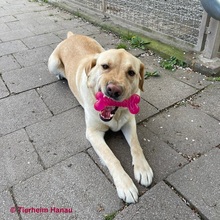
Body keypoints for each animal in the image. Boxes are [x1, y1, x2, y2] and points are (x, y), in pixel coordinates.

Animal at [48, 31, 153, 204]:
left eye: (131, 72)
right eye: (105, 66)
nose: (113, 90)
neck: (115, 116)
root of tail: (72, 35)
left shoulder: (129, 122)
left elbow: (136, 145)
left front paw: (143, 168)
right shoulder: (93, 133)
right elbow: (112, 158)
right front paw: (125, 185)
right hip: (52, 62)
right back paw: (60, 76)